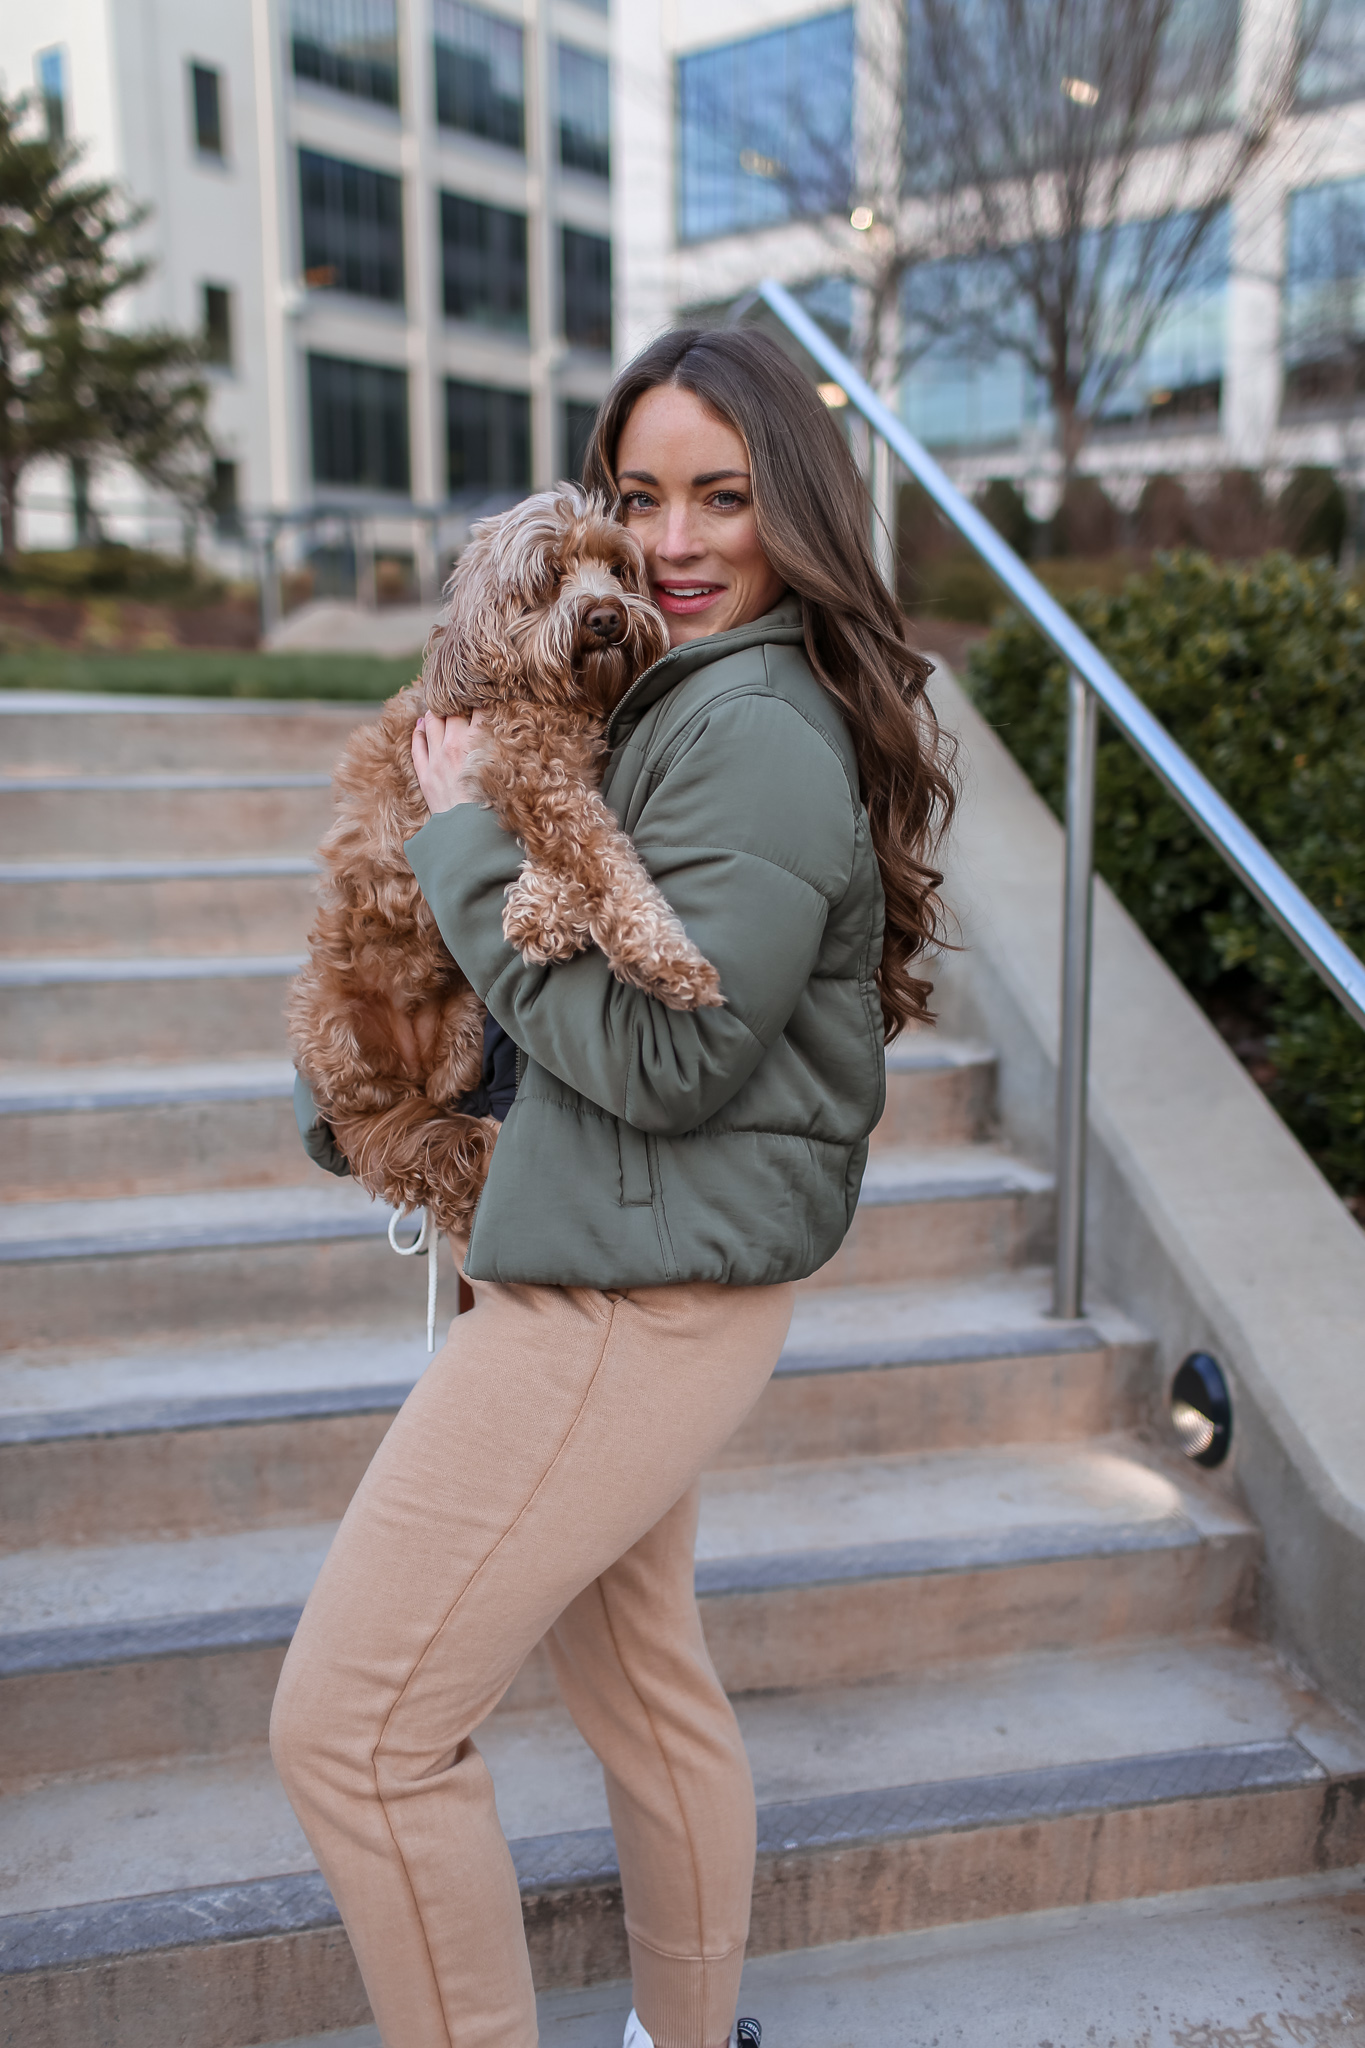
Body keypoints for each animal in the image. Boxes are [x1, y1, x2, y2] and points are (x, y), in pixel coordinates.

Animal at [290, 487, 724, 1236]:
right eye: (549, 575)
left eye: (617, 569)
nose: (606, 617)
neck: (547, 697)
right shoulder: (525, 774)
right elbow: (603, 859)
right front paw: (667, 961)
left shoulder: (556, 777)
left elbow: (579, 856)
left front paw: (543, 911)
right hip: (337, 1030)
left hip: (462, 1022)